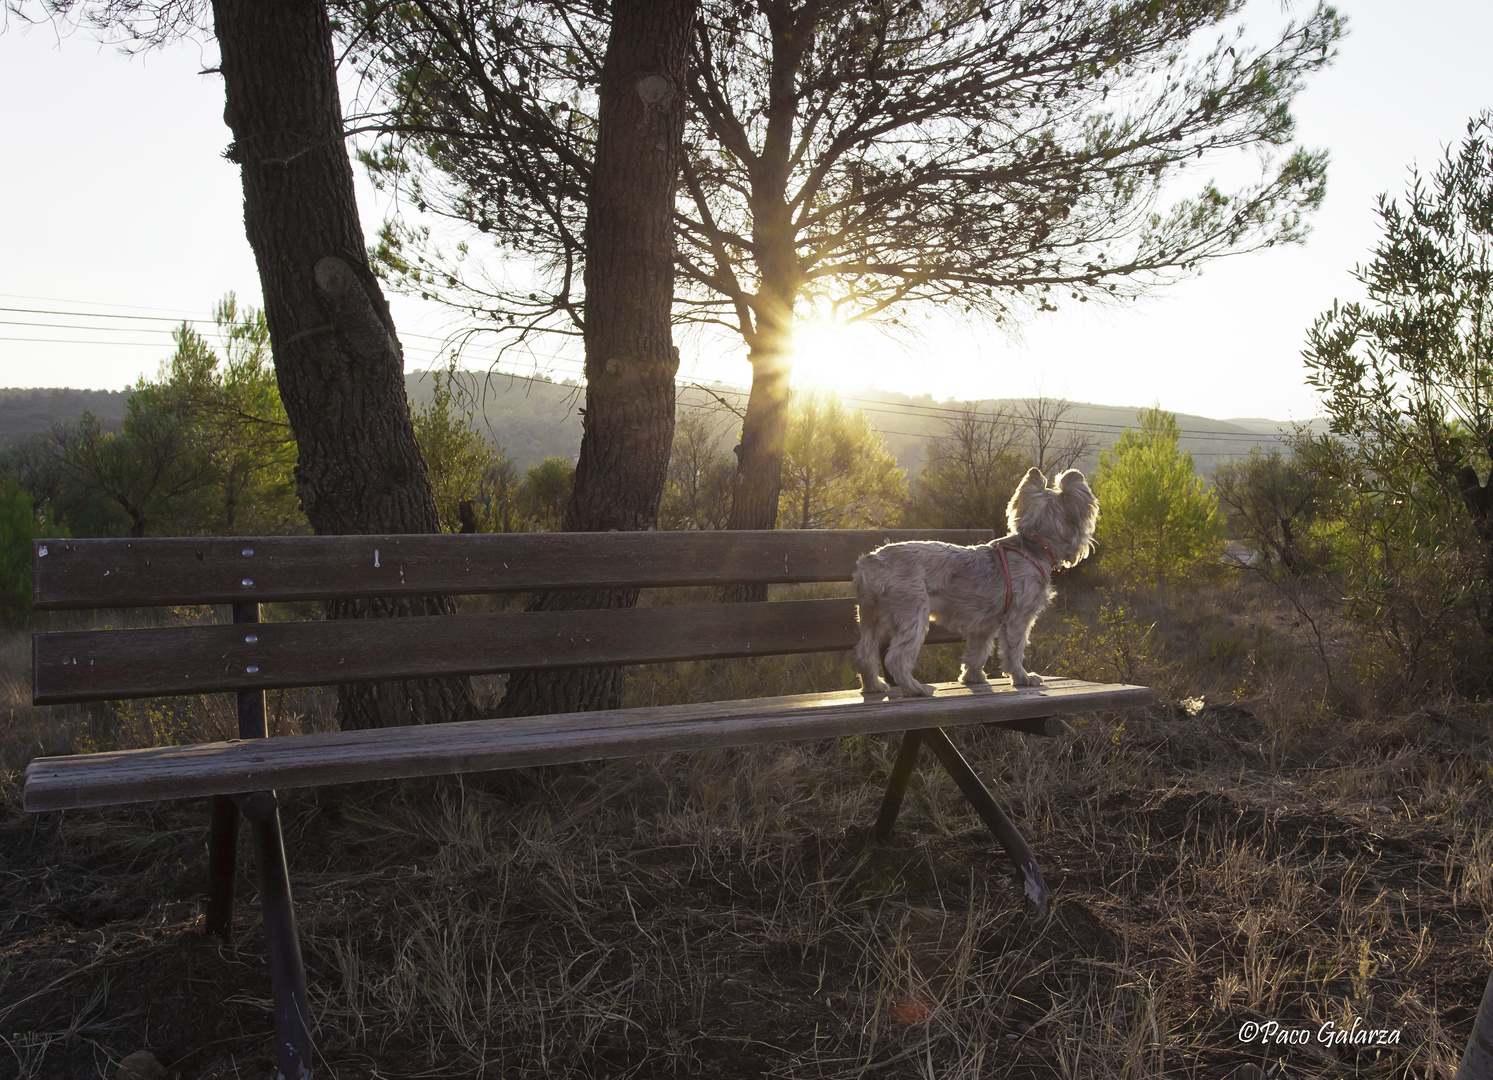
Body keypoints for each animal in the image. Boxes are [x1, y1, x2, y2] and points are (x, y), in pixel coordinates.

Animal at [853, 472, 1098, 696]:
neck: (1032, 547)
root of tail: (871, 563)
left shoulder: (984, 624)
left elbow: (977, 652)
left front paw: (972, 677)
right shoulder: (1018, 619)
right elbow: (1015, 651)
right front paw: (1023, 678)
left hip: (871, 617)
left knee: (864, 653)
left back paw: (874, 686)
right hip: (912, 613)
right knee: (896, 658)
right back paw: (916, 689)